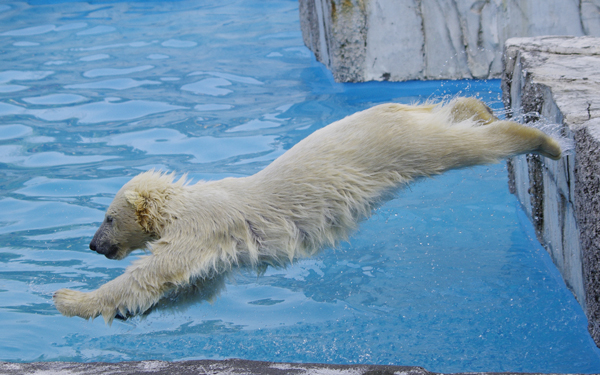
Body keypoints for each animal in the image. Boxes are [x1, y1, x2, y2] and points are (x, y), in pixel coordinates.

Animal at [52, 97, 564, 324]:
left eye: (107, 217)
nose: (93, 245)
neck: (183, 202)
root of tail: (393, 107)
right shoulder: (215, 248)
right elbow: (198, 285)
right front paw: (125, 314)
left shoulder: (202, 226)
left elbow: (158, 271)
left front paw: (69, 298)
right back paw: (477, 107)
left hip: (398, 148)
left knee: (461, 147)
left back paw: (546, 142)